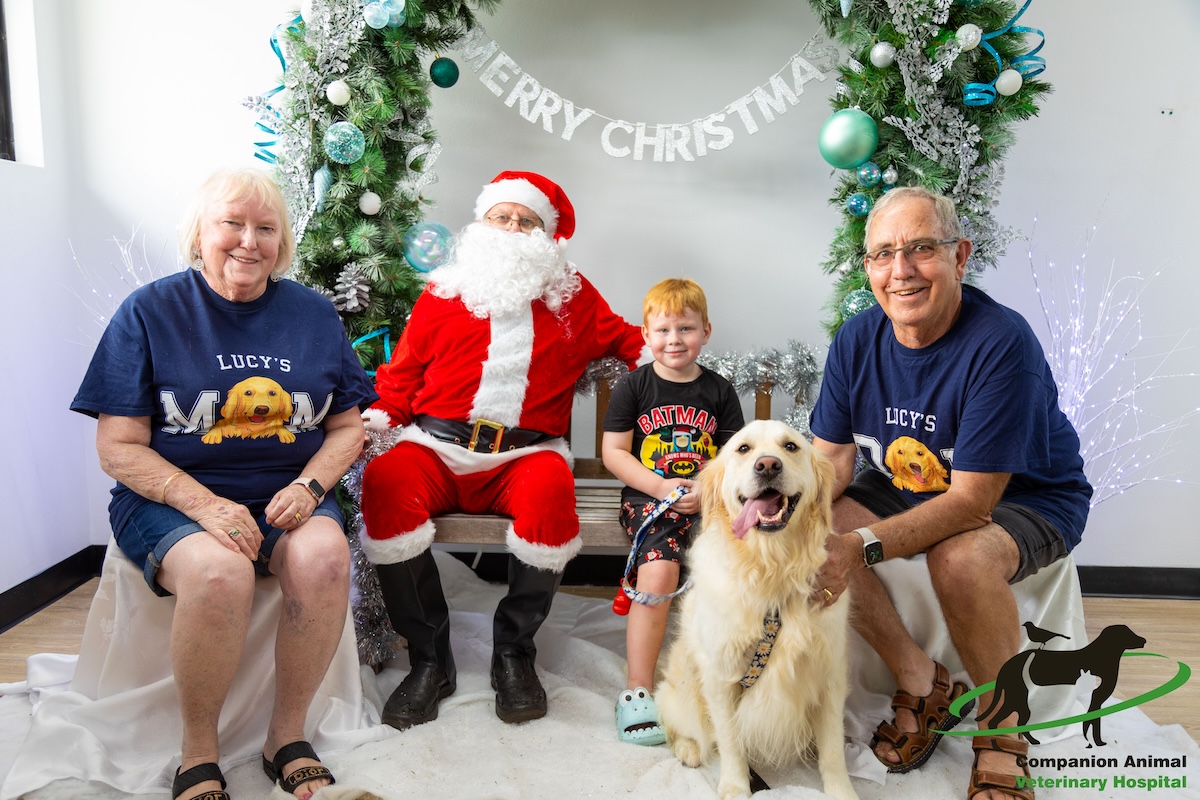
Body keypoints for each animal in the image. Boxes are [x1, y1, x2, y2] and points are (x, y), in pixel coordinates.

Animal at [657, 419, 864, 800]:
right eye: (743, 449)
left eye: (791, 446)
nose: (768, 465)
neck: (773, 572)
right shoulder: (721, 675)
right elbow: (730, 740)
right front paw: (736, 786)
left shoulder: (829, 672)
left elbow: (832, 747)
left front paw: (841, 791)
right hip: (684, 687)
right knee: (680, 722)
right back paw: (688, 748)